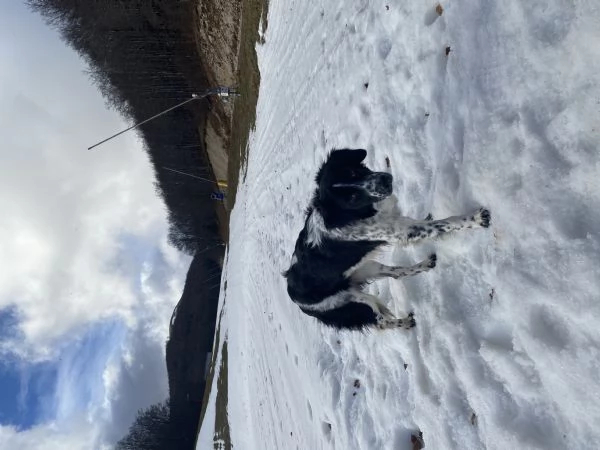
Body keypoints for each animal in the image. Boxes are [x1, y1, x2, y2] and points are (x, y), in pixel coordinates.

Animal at [284, 149, 490, 328]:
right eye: (352, 198)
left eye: (353, 171)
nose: (385, 180)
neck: (358, 213)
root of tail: (293, 296)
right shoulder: (401, 230)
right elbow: (442, 224)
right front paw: (474, 219)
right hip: (354, 302)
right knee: (382, 322)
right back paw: (405, 322)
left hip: (367, 268)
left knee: (395, 273)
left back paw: (425, 264)